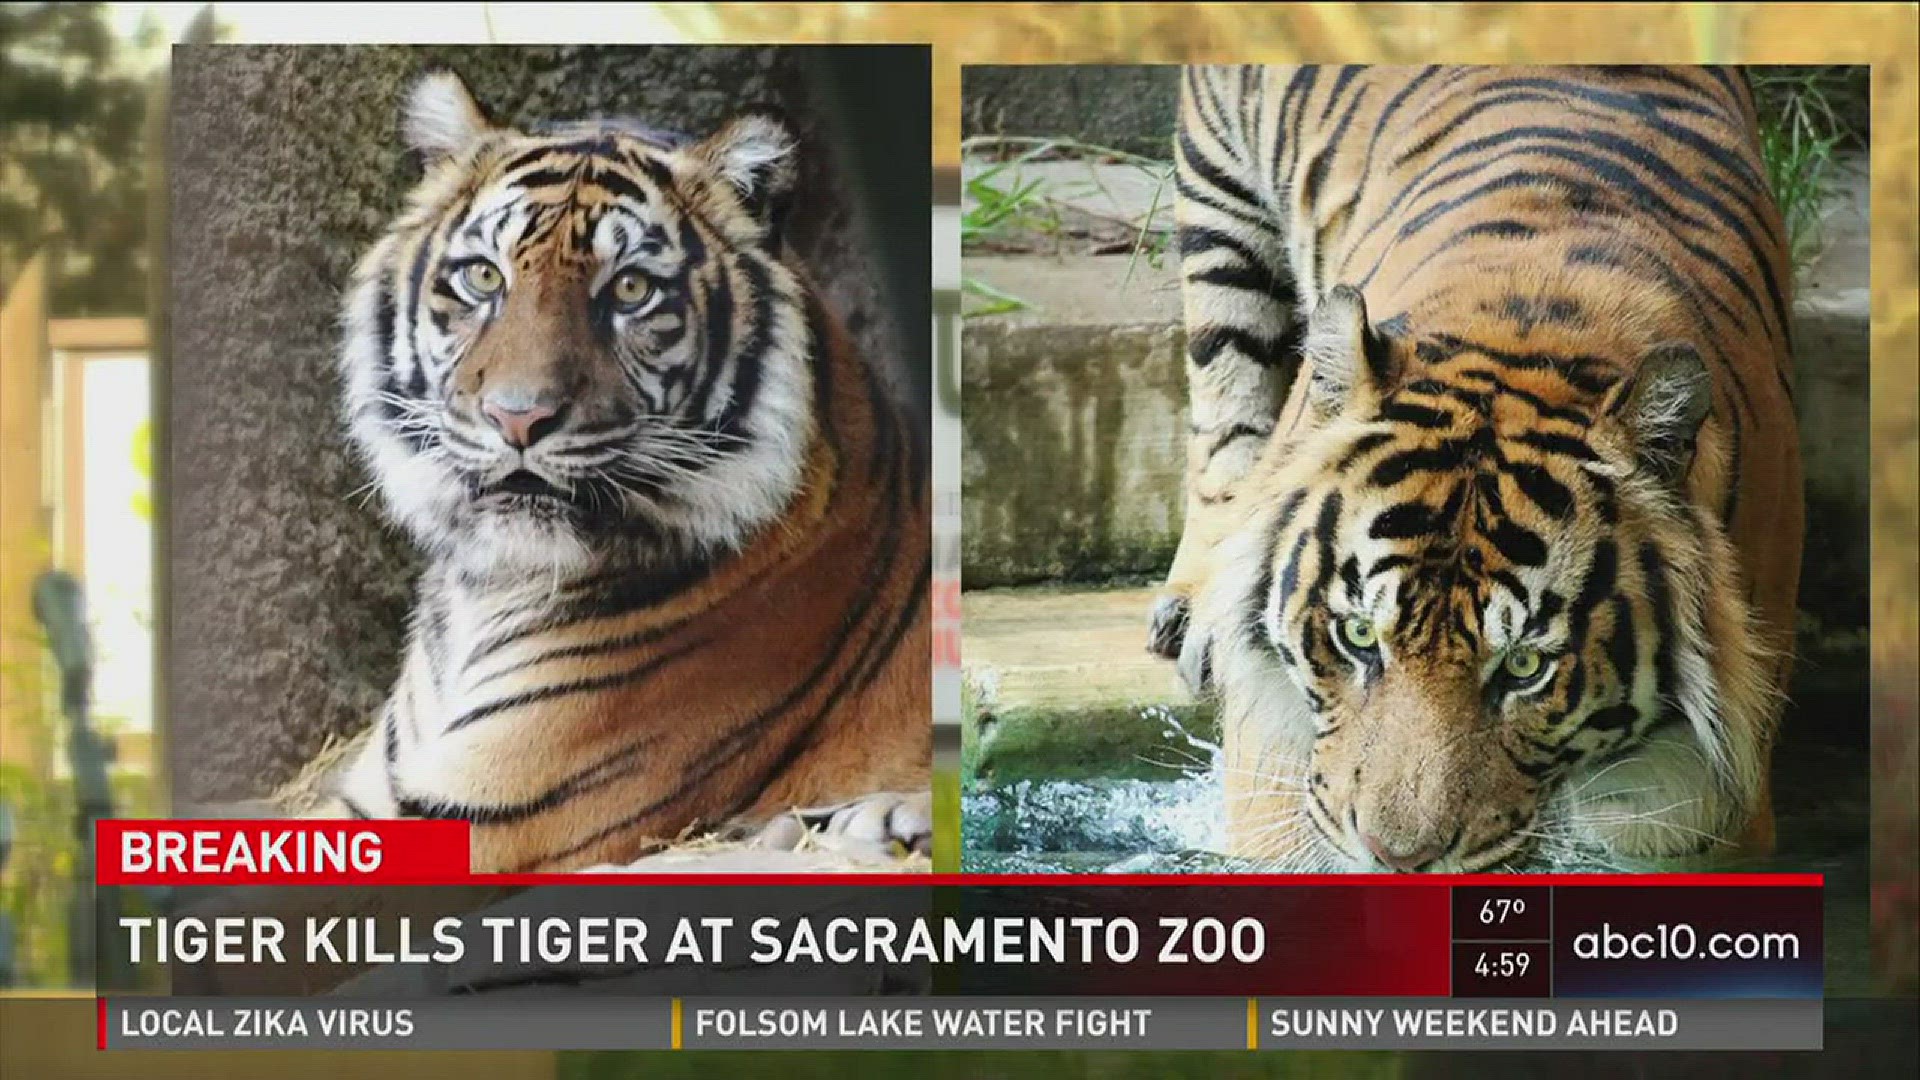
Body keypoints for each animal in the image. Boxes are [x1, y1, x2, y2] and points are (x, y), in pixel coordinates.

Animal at [1152, 67, 1797, 868]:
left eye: (1525, 668)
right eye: (1357, 636)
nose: (1396, 857)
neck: (1534, 335)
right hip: (1220, 201)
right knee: (1225, 391)